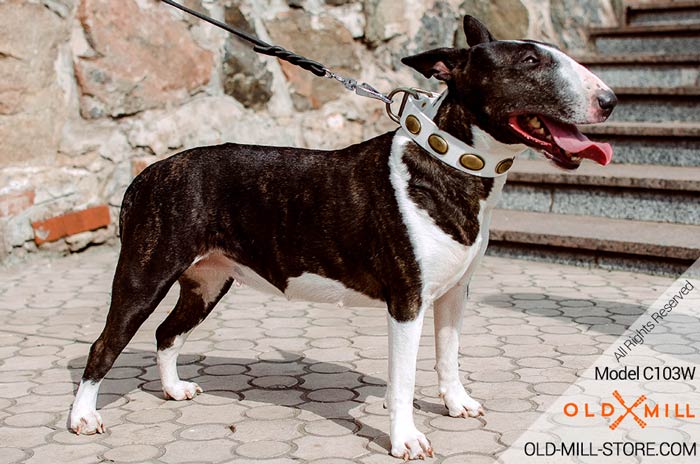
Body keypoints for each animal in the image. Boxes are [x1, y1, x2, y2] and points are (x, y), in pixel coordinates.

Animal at [71, 15, 616, 460]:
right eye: (530, 62)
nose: (609, 101)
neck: (450, 161)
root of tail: (148, 173)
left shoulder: (454, 293)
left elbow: (449, 355)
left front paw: (457, 404)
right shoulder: (408, 301)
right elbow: (403, 378)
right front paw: (406, 440)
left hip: (208, 281)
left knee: (167, 332)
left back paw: (173, 389)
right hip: (145, 275)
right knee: (104, 345)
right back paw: (82, 417)